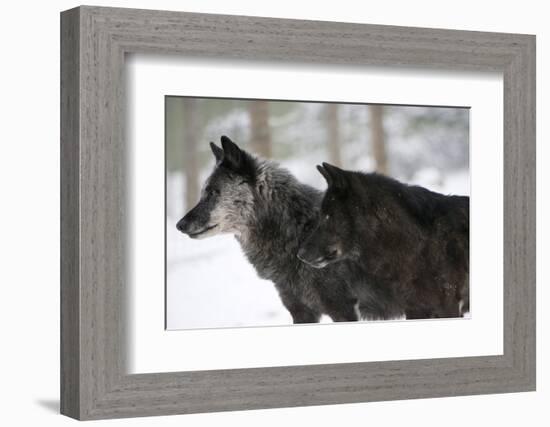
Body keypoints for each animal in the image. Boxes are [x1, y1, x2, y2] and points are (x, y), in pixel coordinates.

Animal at [178, 137, 366, 324]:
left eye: (213, 192)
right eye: (203, 192)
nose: (179, 225)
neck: (299, 231)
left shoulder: (343, 310)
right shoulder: (300, 311)